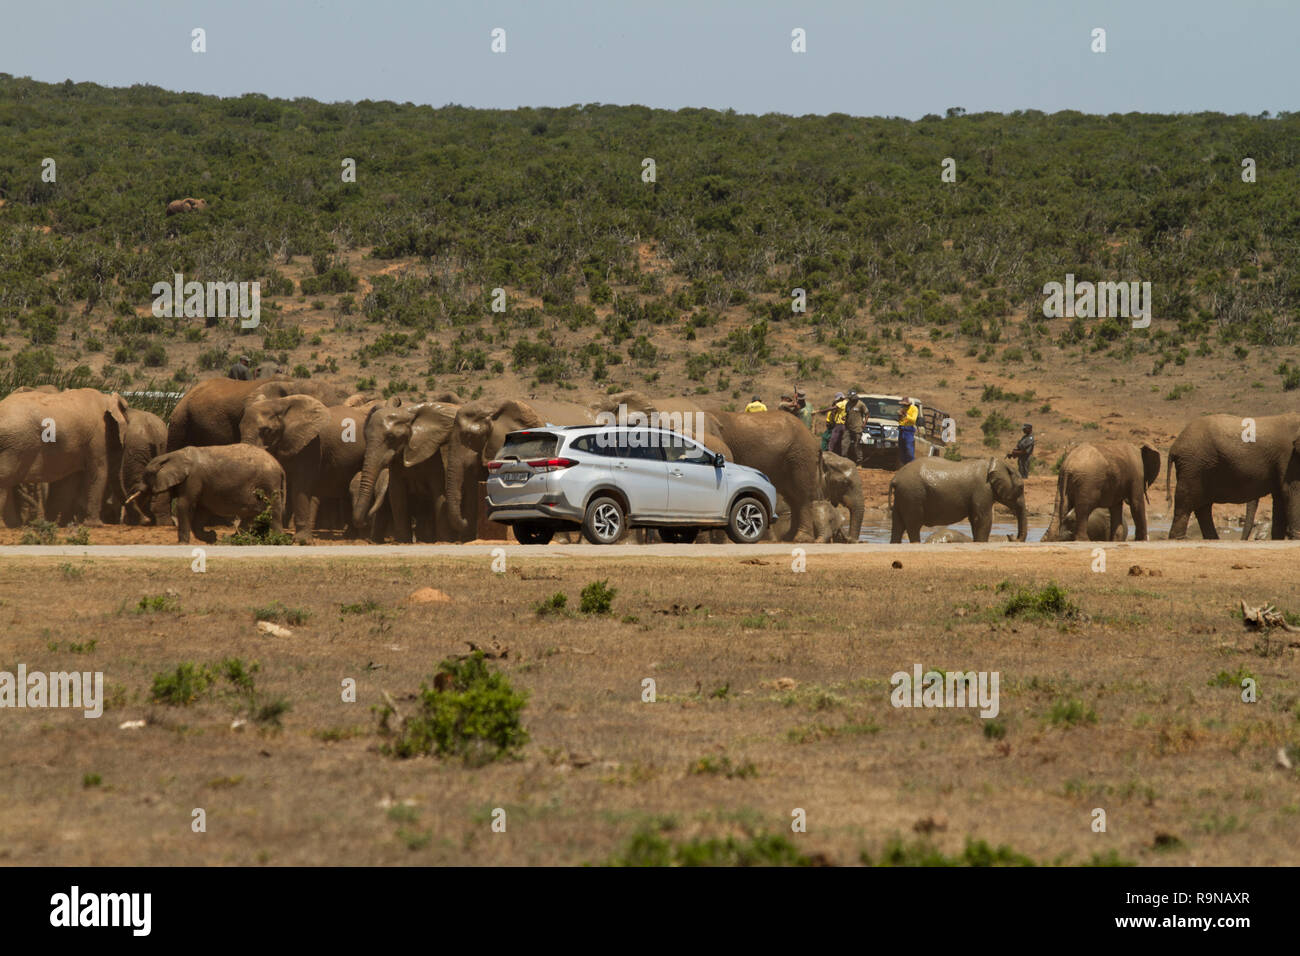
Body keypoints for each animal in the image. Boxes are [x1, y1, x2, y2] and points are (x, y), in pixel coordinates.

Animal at [128, 444, 286, 541]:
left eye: (147, 475)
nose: (146, 521)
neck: (173, 455)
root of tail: (279, 467)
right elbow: (201, 510)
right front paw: (212, 538)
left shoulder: (193, 478)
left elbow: (184, 505)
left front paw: (183, 543)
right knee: (253, 511)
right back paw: (235, 539)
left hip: (268, 481)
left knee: (272, 508)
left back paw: (276, 538)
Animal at [894, 457, 1024, 546]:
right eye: (1021, 487)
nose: (1011, 535)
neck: (994, 463)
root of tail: (895, 478)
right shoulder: (983, 490)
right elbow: (983, 520)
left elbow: (975, 520)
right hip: (912, 495)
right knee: (913, 525)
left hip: (903, 496)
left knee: (899, 525)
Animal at [1170, 416, 1300, 541]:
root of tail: (1174, 446)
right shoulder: (1289, 457)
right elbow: (1291, 491)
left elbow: (1281, 496)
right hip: (1192, 465)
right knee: (1186, 500)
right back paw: (1179, 539)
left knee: (1203, 506)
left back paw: (1213, 539)